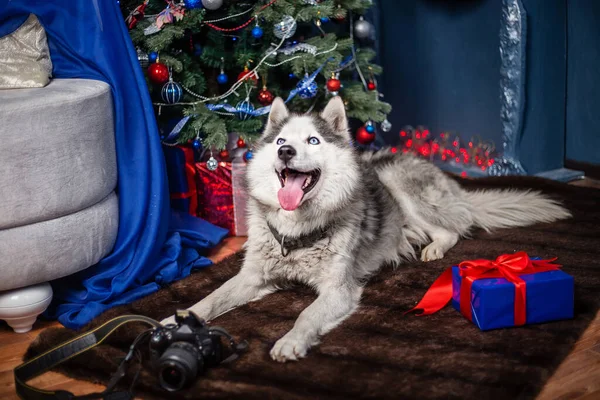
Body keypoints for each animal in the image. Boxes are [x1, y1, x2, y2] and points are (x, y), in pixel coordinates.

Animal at [161, 96, 572, 362]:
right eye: (280, 141)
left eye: (313, 140)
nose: (285, 152)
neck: (297, 234)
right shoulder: (252, 278)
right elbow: (211, 298)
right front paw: (176, 320)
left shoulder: (338, 291)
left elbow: (306, 314)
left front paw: (291, 341)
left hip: (399, 186)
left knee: (454, 228)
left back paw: (433, 249)